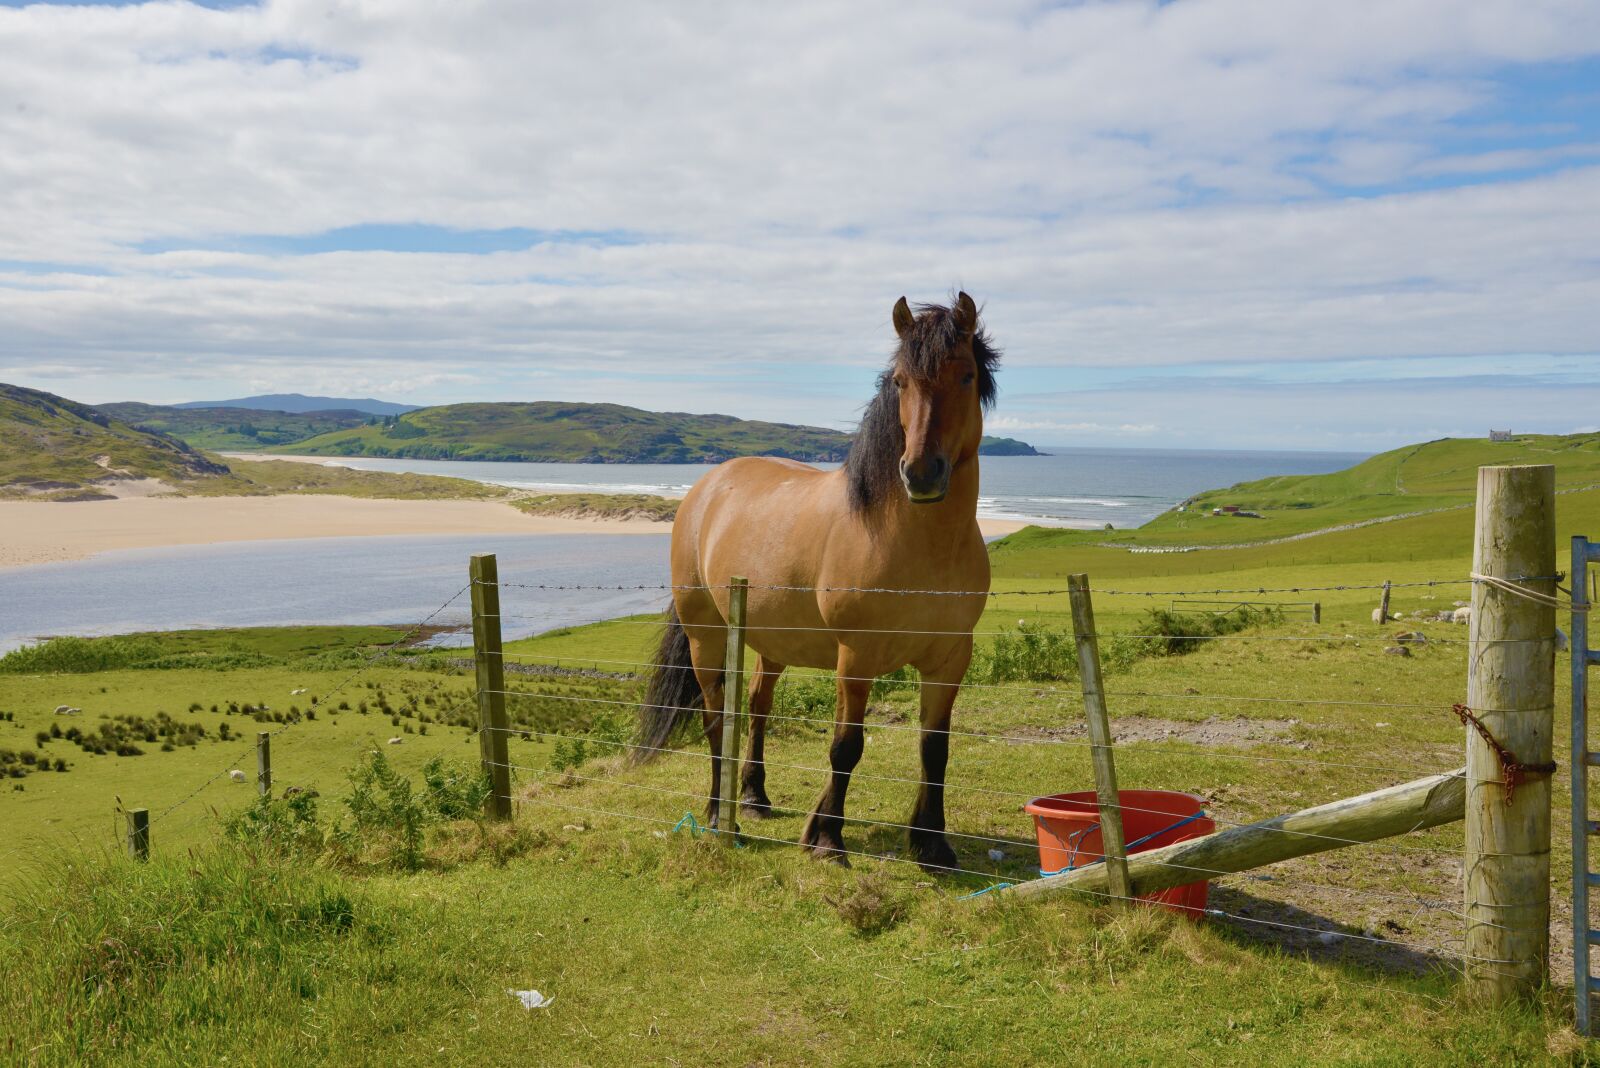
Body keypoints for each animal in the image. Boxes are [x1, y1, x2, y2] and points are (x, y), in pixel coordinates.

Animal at [637, 292, 998, 870]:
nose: (920, 473)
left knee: (757, 706)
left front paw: (931, 843)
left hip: (770, 642)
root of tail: (707, 486)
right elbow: (846, 746)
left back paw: (754, 797)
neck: (916, 545)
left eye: (965, 376)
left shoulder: (949, 658)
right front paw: (827, 838)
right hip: (706, 637)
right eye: (900, 381)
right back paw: (717, 812)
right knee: (716, 718)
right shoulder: (856, 657)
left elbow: (934, 747)